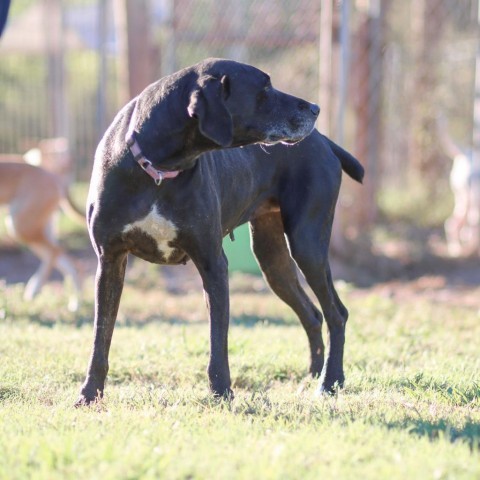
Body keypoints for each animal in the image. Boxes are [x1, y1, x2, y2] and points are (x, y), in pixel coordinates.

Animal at [76, 58, 364, 406]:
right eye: (264, 88)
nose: (315, 108)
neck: (158, 168)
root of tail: (324, 141)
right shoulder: (110, 261)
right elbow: (100, 337)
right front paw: (89, 395)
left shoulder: (212, 263)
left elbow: (218, 341)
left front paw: (222, 393)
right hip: (272, 259)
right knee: (313, 313)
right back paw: (313, 376)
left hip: (307, 245)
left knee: (337, 313)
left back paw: (330, 382)